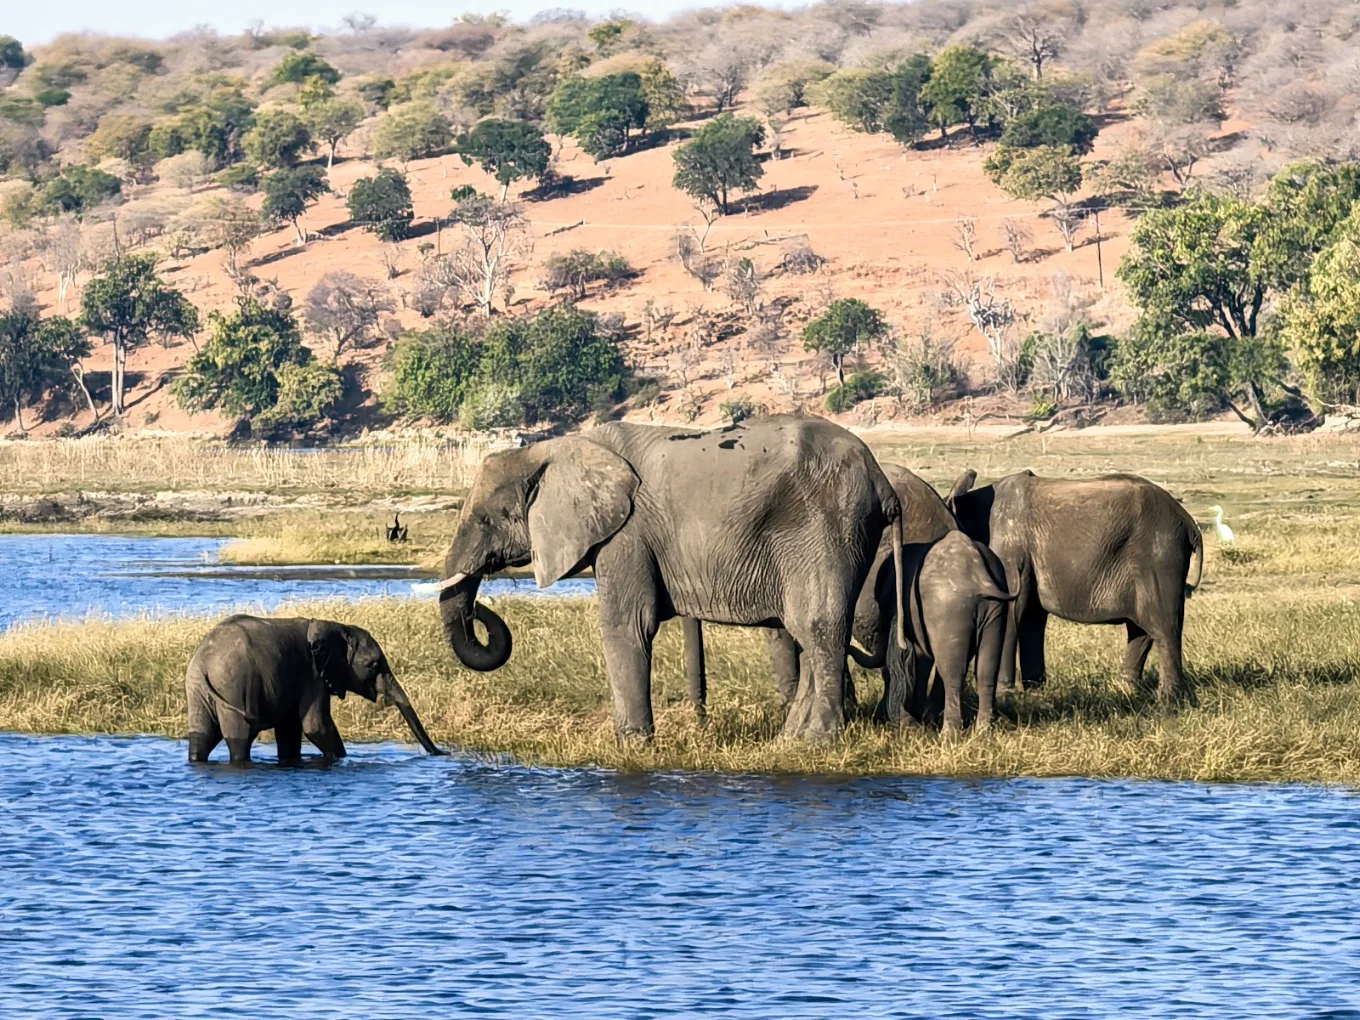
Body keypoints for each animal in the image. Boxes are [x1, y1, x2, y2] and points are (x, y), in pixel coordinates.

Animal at [185, 614, 444, 764]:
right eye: (373, 664)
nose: (442, 753)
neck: (336, 627)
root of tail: (204, 662)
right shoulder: (313, 675)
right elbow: (315, 726)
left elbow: (289, 732)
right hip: (234, 686)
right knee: (239, 738)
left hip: (198, 690)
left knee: (202, 736)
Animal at [436, 414, 906, 742]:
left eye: (485, 519)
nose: (480, 611)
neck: (557, 449)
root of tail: (882, 481)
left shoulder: (626, 533)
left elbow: (626, 625)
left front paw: (631, 745)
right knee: (809, 632)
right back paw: (790, 740)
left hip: (826, 526)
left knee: (818, 627)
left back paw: (817, 743)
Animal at [947, 470, 1204, 703]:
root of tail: (1189, 523)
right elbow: (1031, 616)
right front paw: (1036, 691)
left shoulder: (1009, 550)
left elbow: (1013, 611)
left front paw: (1006, 695)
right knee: (1141, 628)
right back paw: (1125, 688)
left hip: (1160, 556)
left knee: (1163, 626)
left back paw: (1168, 699)